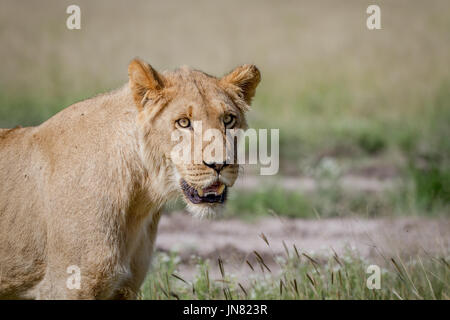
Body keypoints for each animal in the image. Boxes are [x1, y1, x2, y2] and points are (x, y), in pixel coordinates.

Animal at [0, 58, 260, 300]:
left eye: (228, 120)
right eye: (183, 122)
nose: (219, 164)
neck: (139, 198)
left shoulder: (125, 288)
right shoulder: (64, 287)